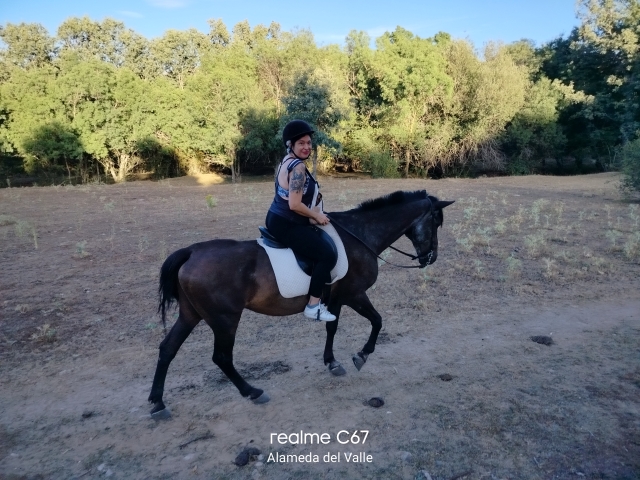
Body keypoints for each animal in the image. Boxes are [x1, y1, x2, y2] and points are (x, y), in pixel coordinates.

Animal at [148, 190, 454, 415]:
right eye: (436, 221)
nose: (431, 258)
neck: (360, 235)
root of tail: (191, 252)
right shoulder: (354, 294)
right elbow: (377, 321)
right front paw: (362, 355)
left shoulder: (336, 298)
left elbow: (332, 327)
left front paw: (332, 362)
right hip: (225, 320)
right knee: (221, 357)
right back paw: (253, 392)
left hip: (191, 315)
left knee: (167, 349)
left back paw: (157, 403)